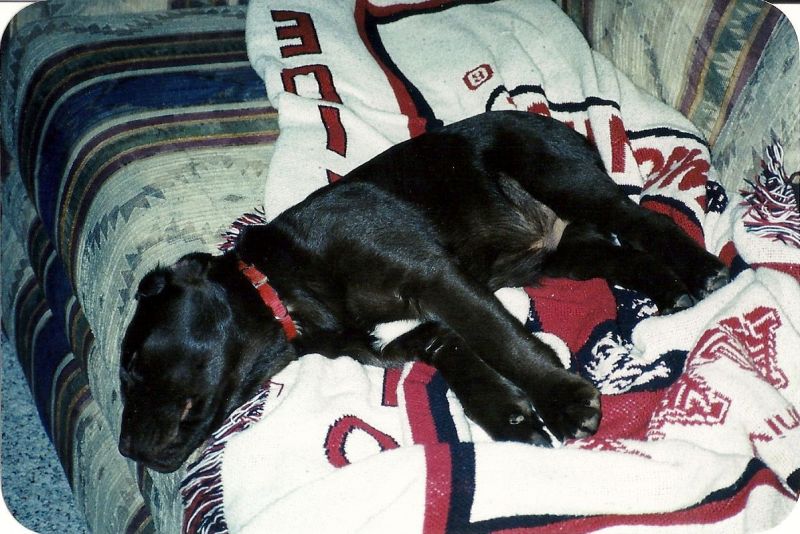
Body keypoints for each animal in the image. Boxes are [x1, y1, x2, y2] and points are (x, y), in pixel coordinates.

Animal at [120, 112, 732, 474]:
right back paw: (672, 291)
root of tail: (554, 121)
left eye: (131, 366)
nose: (125, 450)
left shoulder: (435, 277)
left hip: (562, 181)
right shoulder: (402, 336)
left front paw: (561, 401)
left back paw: (704, 273)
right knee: (622, 253)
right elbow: (456, 352)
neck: (280, 285)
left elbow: (503, 340)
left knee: (641, 221)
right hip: (560, 256)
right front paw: (509, 417)